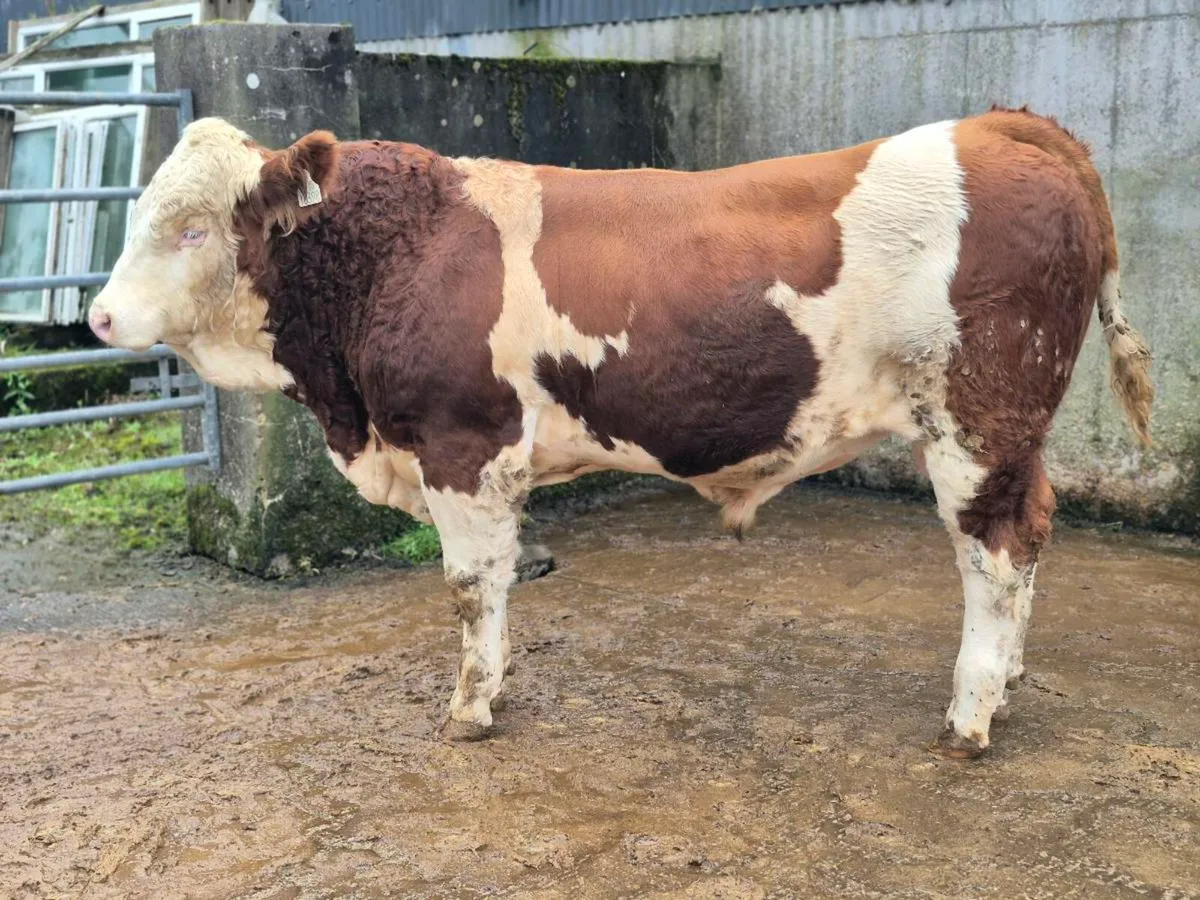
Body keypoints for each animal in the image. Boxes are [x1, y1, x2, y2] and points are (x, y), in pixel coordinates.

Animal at [87, 107, 1153, 757]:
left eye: (190, 228)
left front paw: (471, 709)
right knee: (1028, 538)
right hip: (1009, 432)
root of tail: (1001, 125)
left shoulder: (462, 444)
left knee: (996, 554)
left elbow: (472, 588)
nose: (97, 318)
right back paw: (1006, 684)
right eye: (140, 212)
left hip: (978, 422)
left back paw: (970, 716)